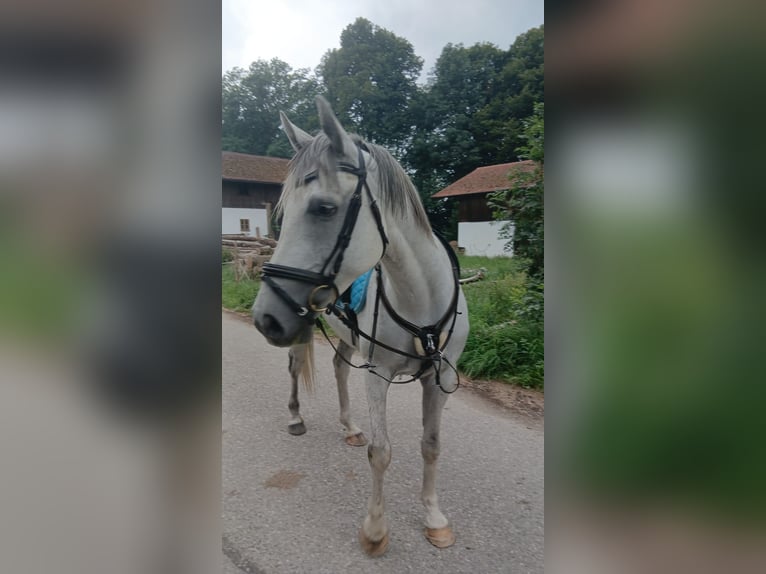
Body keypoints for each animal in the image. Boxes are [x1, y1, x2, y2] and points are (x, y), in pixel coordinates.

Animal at [252, 96, 469, 556]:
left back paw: (349, 426)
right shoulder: (378, 374)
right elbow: (381, 452)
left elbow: (431, 446)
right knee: (295, 368)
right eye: (283, 212)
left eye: (324, 208)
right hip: (305, 331)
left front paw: (434, 518)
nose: (265, 318)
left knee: (338, 368)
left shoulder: (439, 378)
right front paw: (375, 530)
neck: (421, 299)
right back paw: (296, 417)